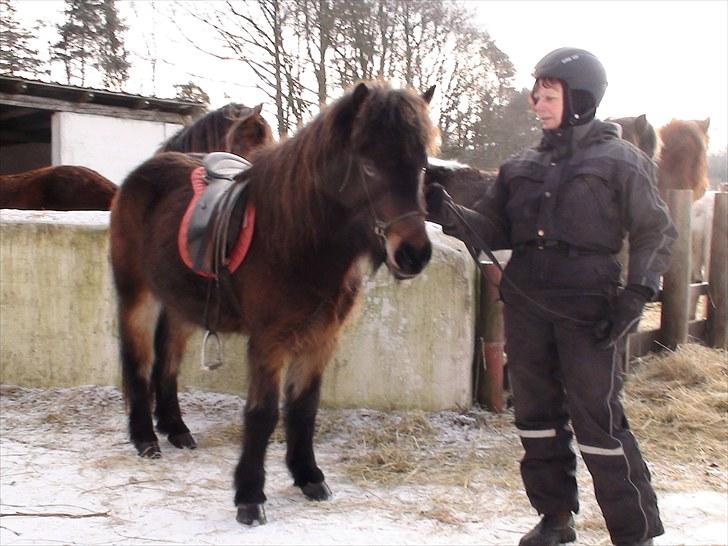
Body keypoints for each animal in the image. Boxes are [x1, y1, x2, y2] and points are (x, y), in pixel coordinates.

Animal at [109, 81, 438, 524]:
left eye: (421, 166)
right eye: (369, 166)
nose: (413, 254)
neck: (297, 238)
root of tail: (138, 176)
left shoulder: (321, 339)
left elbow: (304, 408)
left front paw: (308, 476)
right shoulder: (268, 341)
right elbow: (263, 414)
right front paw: (249, 496)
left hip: (181, 305)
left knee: (168, 361)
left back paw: (176, 429)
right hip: (136, 296)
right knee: (138, 361)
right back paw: (145, 438)